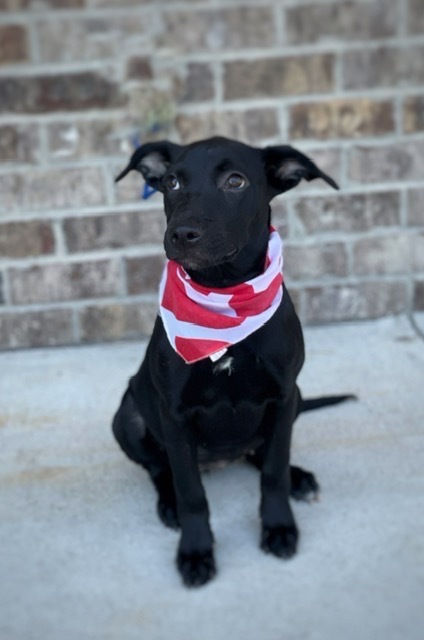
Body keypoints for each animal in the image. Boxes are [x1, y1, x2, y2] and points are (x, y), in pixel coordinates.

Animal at [112, 138, 352, 588]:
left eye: (235, 181)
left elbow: (273, 470)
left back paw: (299, 478)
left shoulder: (283, 396)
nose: (181, 233)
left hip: (294, 402)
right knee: (158, 468)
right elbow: (191, 493)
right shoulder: (175, 415)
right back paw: (168, 503)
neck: (223, 297)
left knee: (264, 453)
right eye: (171, 182)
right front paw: (195, 552)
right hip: (127, 415)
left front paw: (279, 527)